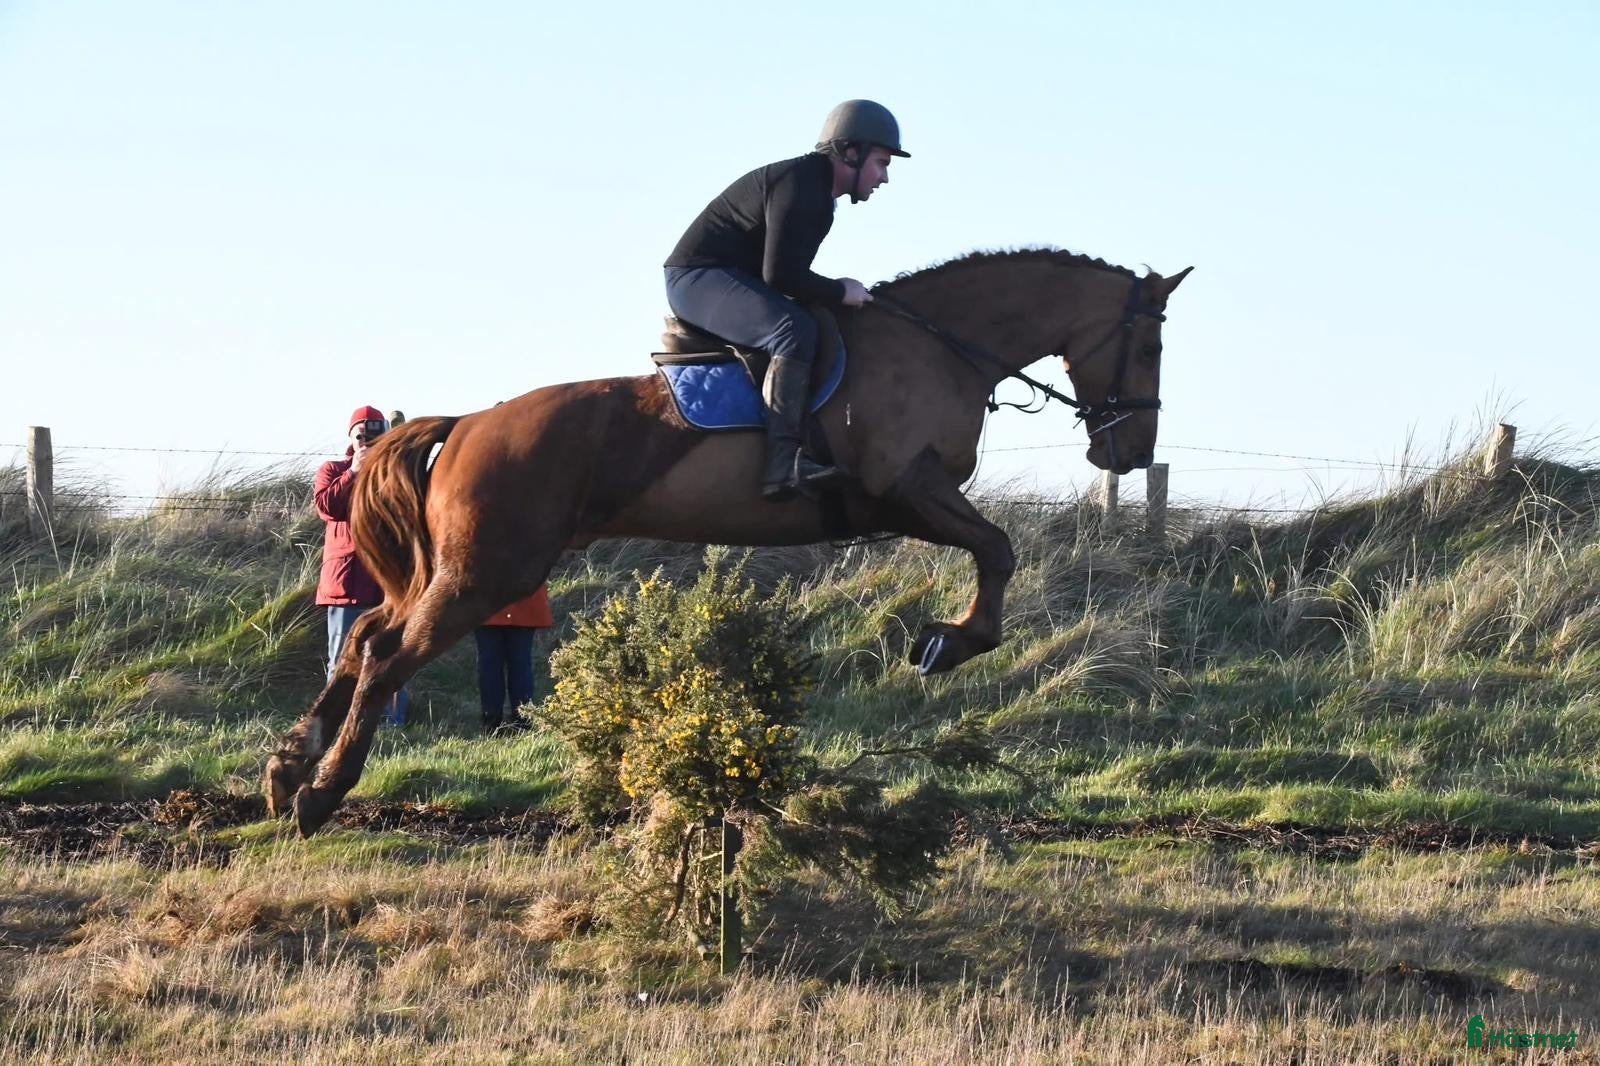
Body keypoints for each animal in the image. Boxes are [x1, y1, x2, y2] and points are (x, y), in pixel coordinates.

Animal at [267, 248, 1191, 835]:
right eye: (1150, 344)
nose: (1127, 453)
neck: (939, 345)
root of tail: (465, 424)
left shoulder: (908, 503)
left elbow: (992, 551)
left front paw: (947, 639)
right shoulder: (908, 488)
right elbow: (996, 550)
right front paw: (947, 644)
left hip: (462, 571)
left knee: (367, 636)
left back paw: (287, 770)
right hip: (490, 571)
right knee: (387, 657)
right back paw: (321, 795)